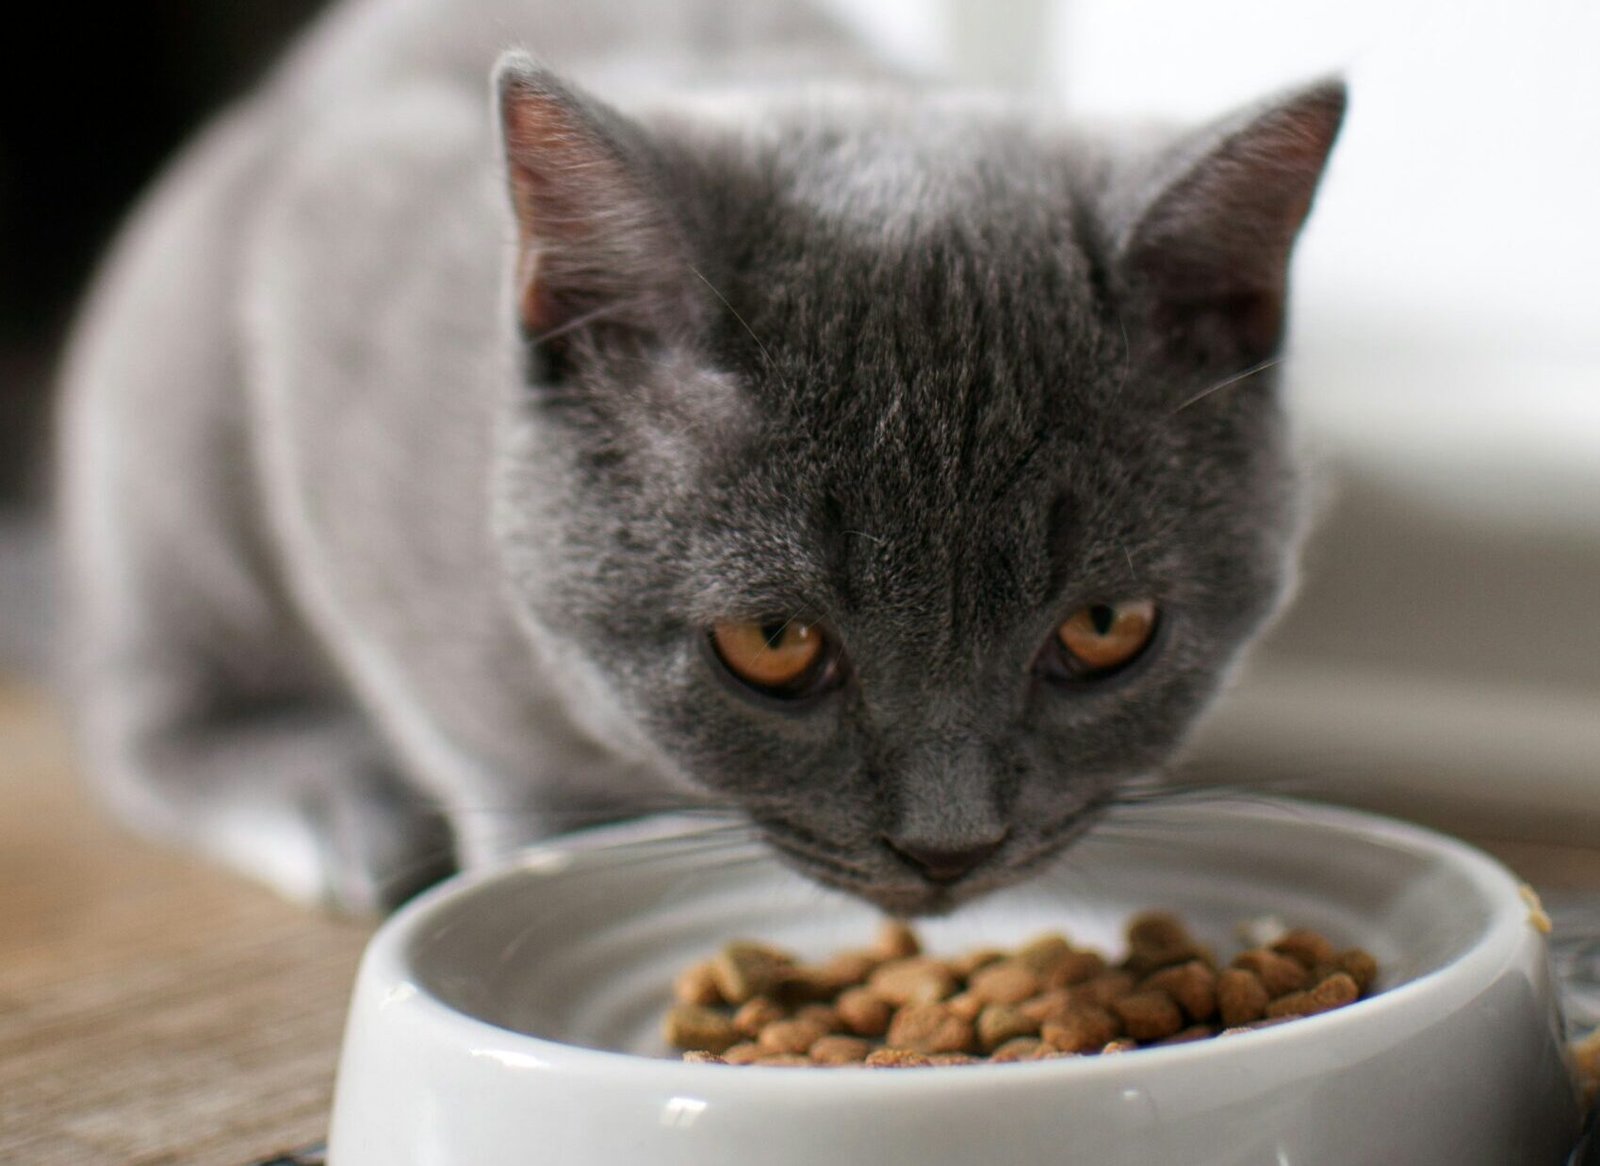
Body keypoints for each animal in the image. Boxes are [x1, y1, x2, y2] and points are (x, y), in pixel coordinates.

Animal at [56, 0, 1344, 914]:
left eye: (1105, 628)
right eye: (772, 642)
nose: (947, 846)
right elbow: (485, 743)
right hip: (172, 403)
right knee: (143, 708)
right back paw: (322, 802)